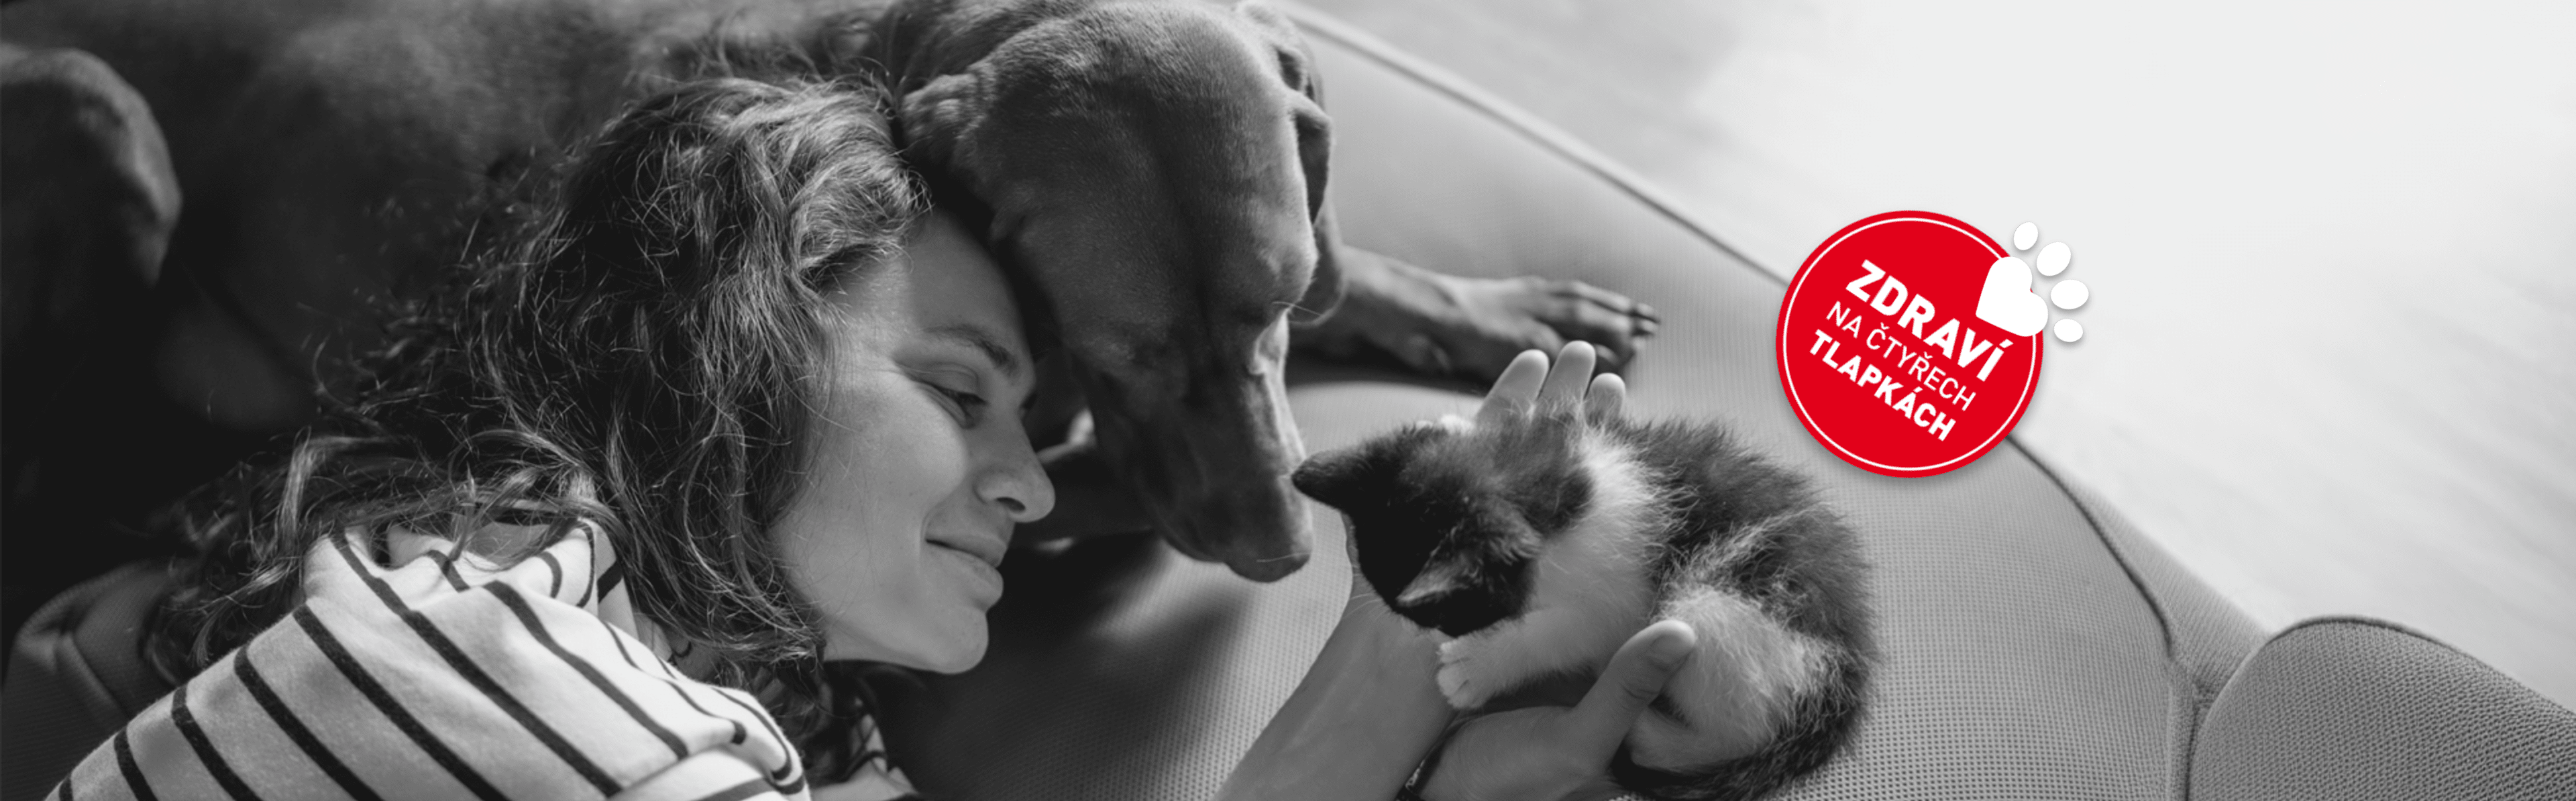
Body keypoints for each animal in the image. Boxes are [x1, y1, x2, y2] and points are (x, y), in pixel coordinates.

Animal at [1291, 404, 1873, 801]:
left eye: (1447, 614)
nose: (1435, 636)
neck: (1548, 486)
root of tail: (1844, 688)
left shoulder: (1623, 596)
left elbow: (1571, 631)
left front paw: (1478, 666)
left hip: (1718, 608)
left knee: (1734, 728)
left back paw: (1650, 732)